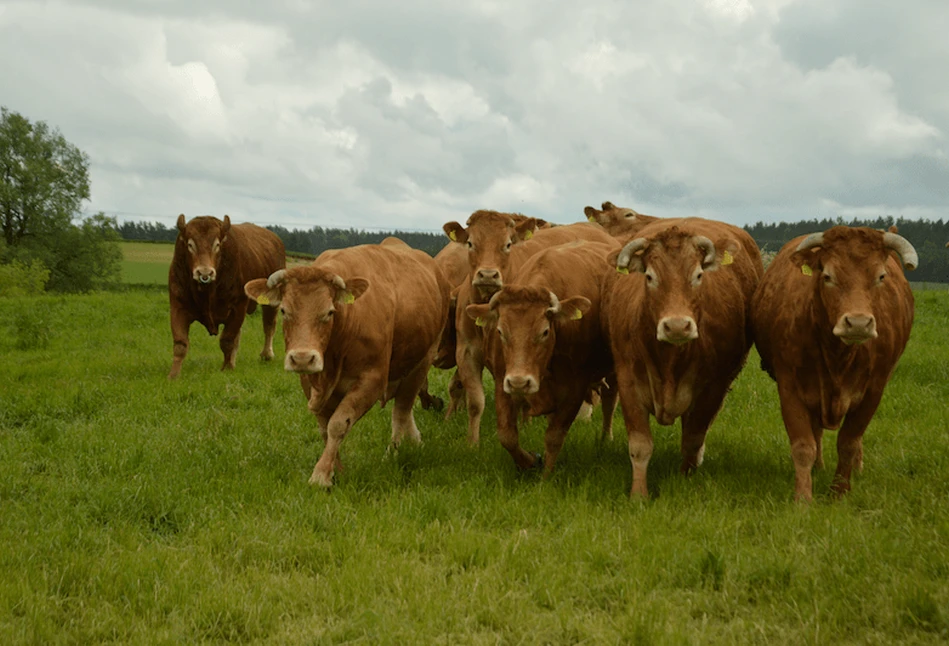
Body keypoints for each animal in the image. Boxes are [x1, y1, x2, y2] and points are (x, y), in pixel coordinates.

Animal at [168, 216, 286, 380]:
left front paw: (226, 367)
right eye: (190, 244)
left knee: (269, 326)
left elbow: (227, 341)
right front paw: (173, 374)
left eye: (217, 245)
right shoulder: (178, 307)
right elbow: (180, 344)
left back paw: (267, 354)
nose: (204, 273)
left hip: (271, 302)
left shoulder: (238, 308)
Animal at [442, 213, 616, 446]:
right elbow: (476, 401)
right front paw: (472, 443)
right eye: (470, 243)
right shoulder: (467, 353)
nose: (487, 275)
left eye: (507, 244)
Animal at [464, 243, 616, 476]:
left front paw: (546, 477)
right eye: (500, 331)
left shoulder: (575, 389)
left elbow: (554, 436)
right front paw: (529, 461)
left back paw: (606, 439)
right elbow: (507, 436)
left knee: (609, 403)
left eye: (544, 332)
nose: (519, 382)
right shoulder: (502, 382)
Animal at [608, 220, 764, 498]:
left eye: (698, 275)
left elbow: (692, 439)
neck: (669, 360)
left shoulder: (713, 388)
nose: (677, 326)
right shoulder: (627, 382)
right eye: (650, 277)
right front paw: (638, 494)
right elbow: (640, 446)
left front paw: (684, 479)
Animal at [748, 228, 920, 506]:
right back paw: (818, 467)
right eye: (827, 276)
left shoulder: (873, 391)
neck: (837, 356)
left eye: (881, 276)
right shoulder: (790, 389)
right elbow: (803, 445)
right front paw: (803, 498)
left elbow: (848, 442)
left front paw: (839, 492)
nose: (858, 323)